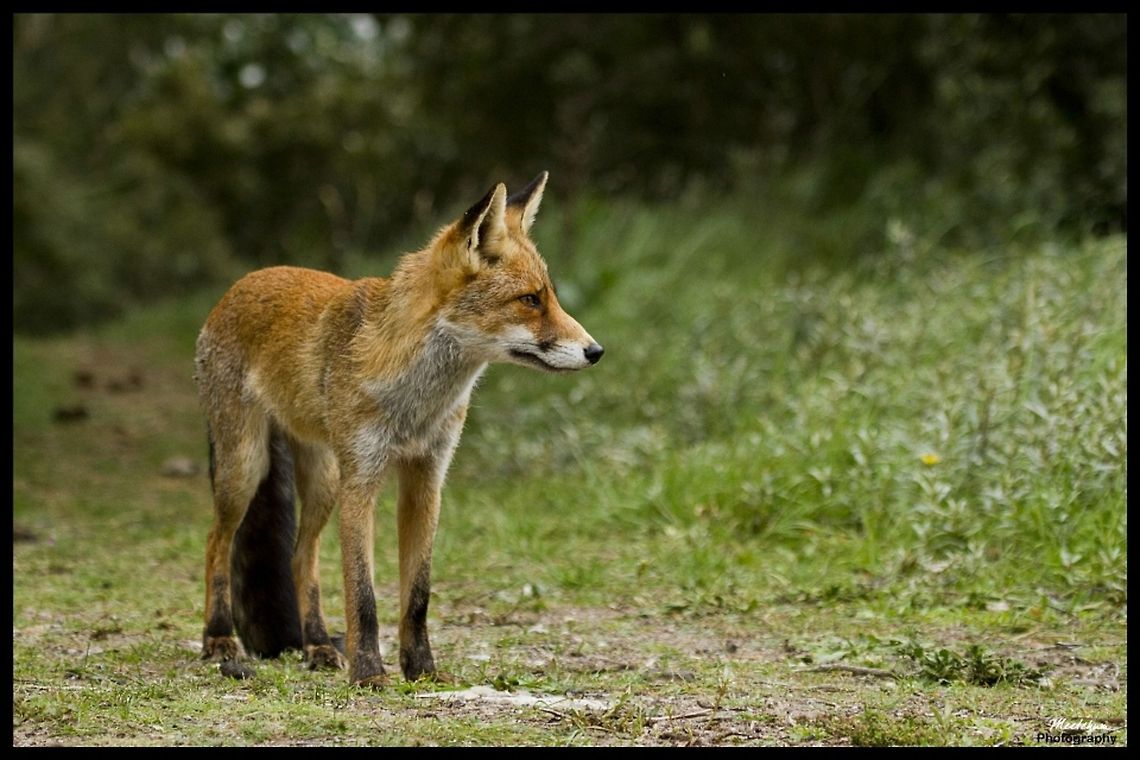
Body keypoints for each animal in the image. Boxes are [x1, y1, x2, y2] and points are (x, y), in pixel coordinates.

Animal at [194, 172, 603, 685]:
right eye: (530, 300)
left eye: (550, 296)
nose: (596, 351)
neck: (416, 402)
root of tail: (247, 279)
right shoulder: (362, 481)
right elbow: (363, 596)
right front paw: (370, 673)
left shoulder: (426, 481)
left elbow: (417, 596)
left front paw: (422, 670)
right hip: (246, 469)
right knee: (216, 542)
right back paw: (218, 637)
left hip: (323, 479)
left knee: (301, 557)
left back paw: (317, 646)